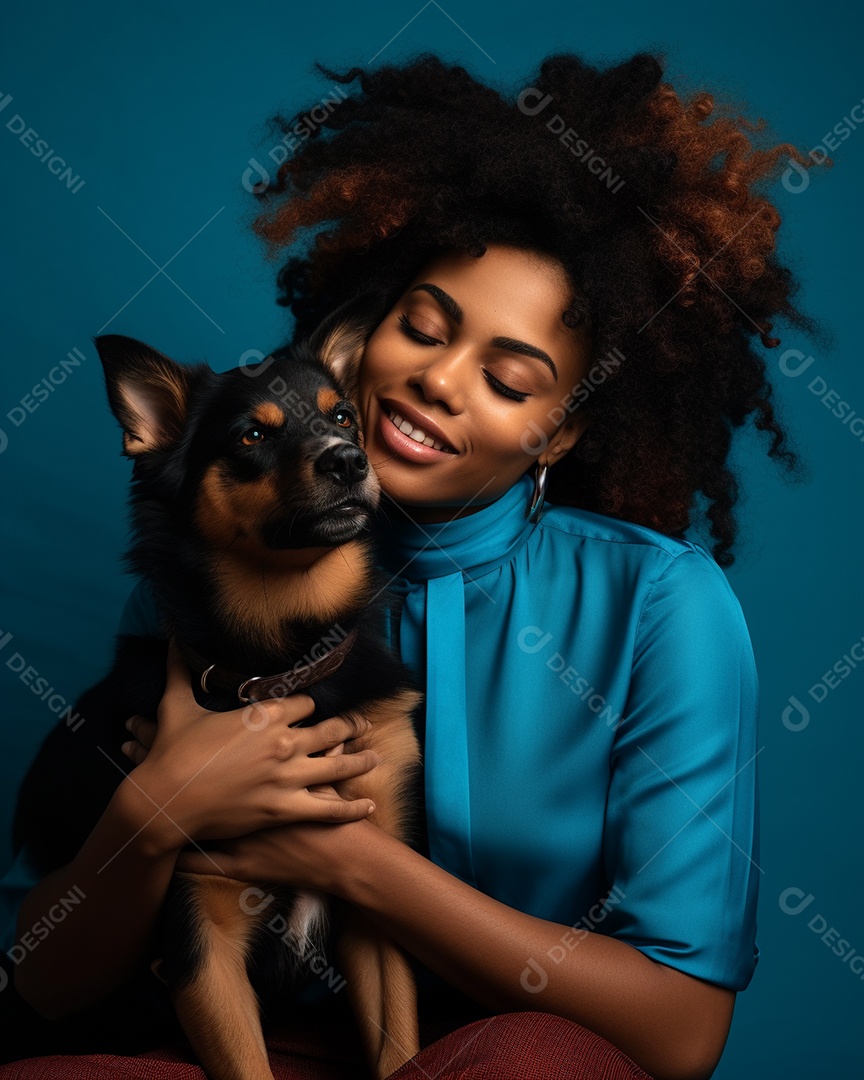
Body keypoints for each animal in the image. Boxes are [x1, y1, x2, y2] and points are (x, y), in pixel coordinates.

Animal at [10, 291, 421, 1075]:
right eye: (251, 436)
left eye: (343, 417)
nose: (350, 460)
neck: (283, 656)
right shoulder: (203, 939)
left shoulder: (380, 893)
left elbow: (402, 1051)